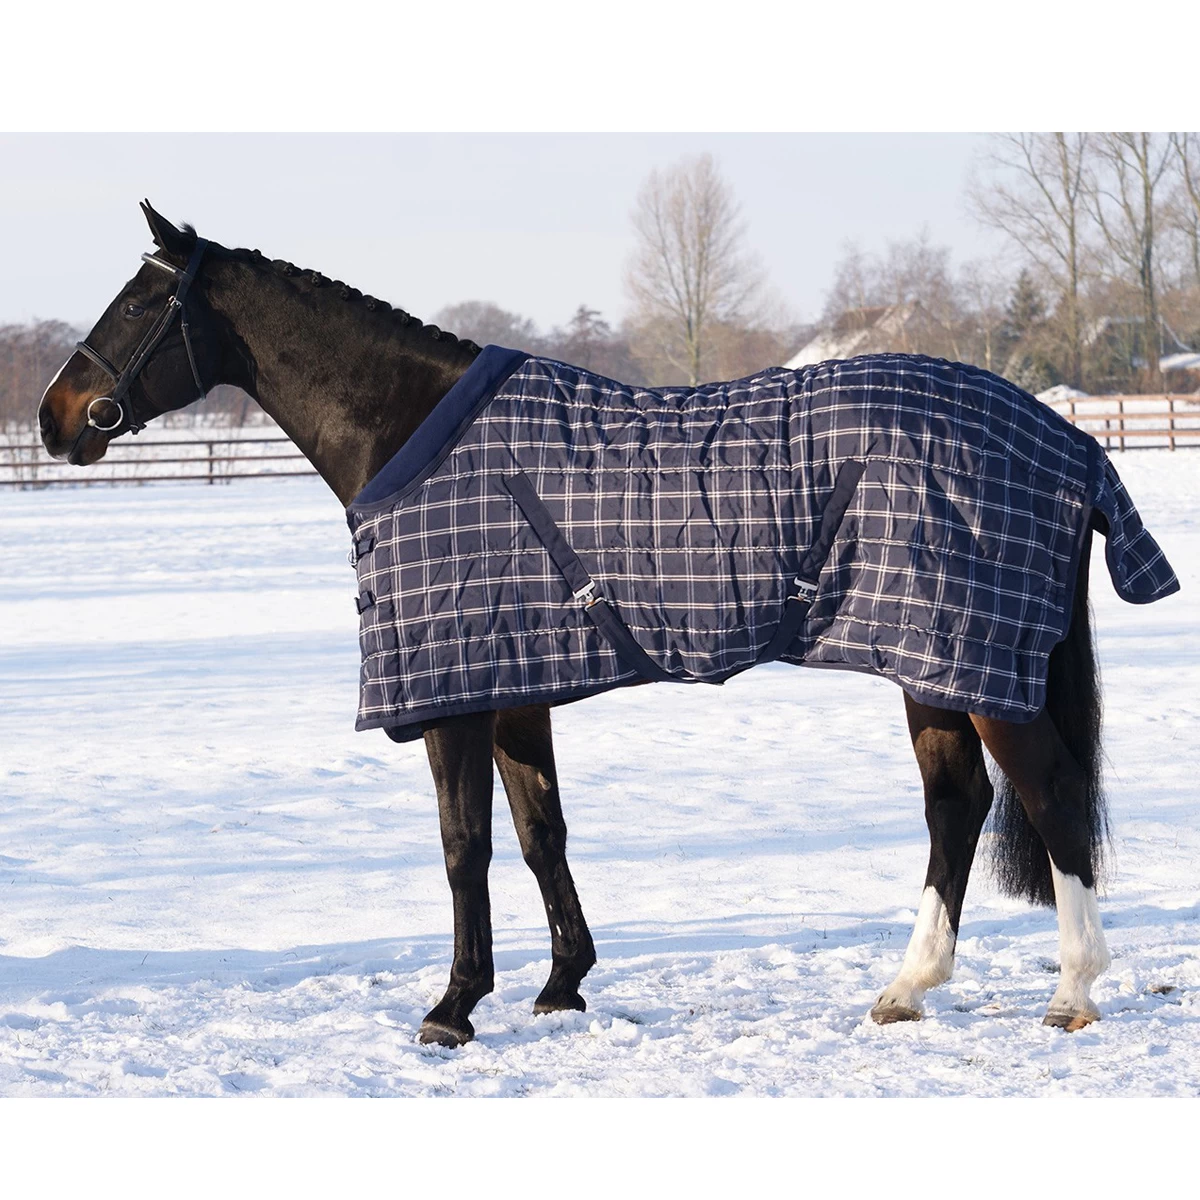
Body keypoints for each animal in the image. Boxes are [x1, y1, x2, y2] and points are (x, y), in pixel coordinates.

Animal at [37, 202, 1178, 1047]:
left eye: (142, 302)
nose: (55, 416)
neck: (411, 432)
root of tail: (1066, 440)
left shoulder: (457, 691)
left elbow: (464, 845)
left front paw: (454, 1007)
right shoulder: (515, 683)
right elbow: (540, 832)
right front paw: (561, 986)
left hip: (974, 663)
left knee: (1050, 795)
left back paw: (1072, 993)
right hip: (929, 659)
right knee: (957, 806)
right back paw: (907, 988)